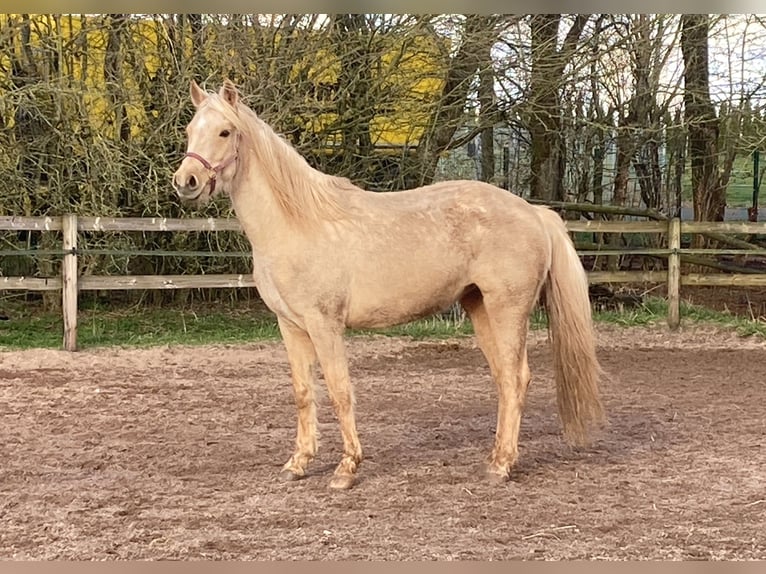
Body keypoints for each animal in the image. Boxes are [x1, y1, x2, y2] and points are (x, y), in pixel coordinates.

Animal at [174, 79, 608, 490]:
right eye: (190, 129)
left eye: (225, 131)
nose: (186, 181)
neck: (297, 222)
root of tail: (534, 212)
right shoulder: (291, 327)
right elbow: (303, 393)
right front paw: (298, 463)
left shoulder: (324, 325)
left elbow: (340, 391)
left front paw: (346, 469)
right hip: (481, 309)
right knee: (504, 378)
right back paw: (495, 458)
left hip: (508, 310)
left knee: (516, 378)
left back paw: (502, 466)